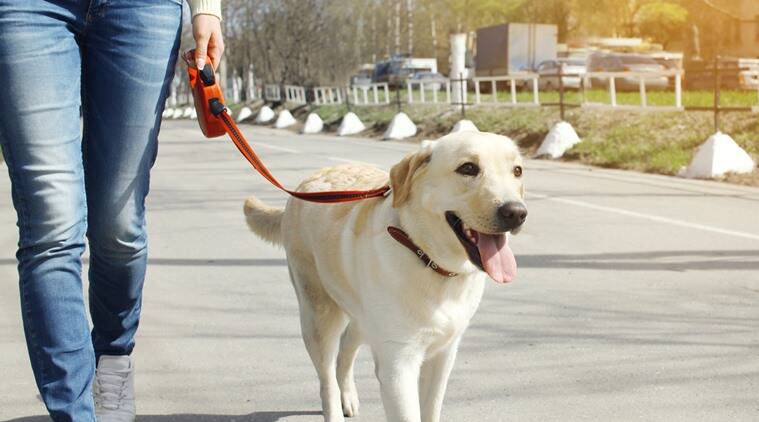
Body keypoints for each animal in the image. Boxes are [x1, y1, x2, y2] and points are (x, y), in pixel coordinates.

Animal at [243, 132, 528, 422]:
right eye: (468, 168)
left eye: (517, 171)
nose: (516, 212)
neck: (427, 259)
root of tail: (303, 185)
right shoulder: (398, 365)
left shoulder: (443, 356)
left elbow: (432, 410)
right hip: (318, 315)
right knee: (326, 379)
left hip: (362, 317)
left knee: (346, 349)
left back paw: (348, 395)